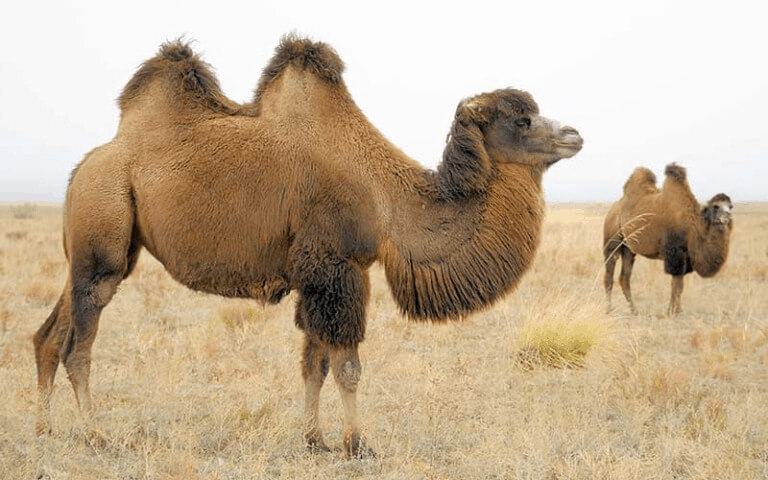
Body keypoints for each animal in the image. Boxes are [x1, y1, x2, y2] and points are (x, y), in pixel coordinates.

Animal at [30, 35, 584, 456]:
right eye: (521, 121)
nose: (575, 133)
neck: (386, 199)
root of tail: (84, 167)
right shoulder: (335, 266)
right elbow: (347, 367)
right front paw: (359, 444)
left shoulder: (322, 276)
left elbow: (313, 364)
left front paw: (315, 441)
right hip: (103, 229)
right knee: (79, 343)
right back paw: (95, 435)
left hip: (99, 251)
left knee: (49, 335)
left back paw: (44, 430)